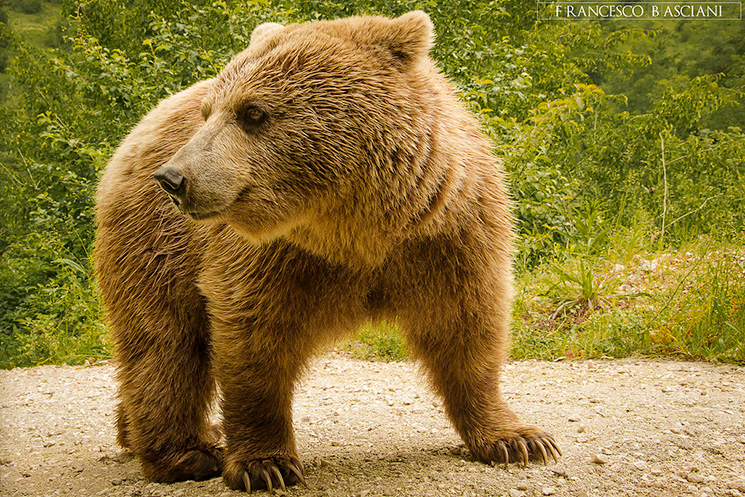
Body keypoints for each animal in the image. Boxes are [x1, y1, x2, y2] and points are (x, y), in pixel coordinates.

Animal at [93, 10, 560, 492]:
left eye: (252, 112)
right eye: (210, 112)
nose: (174, 177)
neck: (359, 231)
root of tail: (139, 130)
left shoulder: (448, 235)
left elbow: (467, 327)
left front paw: (518, 439)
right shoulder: (271, 260)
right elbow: (254, 342)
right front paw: (266, 464)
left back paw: (136, 433)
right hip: (156, 244)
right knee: (164, 341)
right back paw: (186, 452)